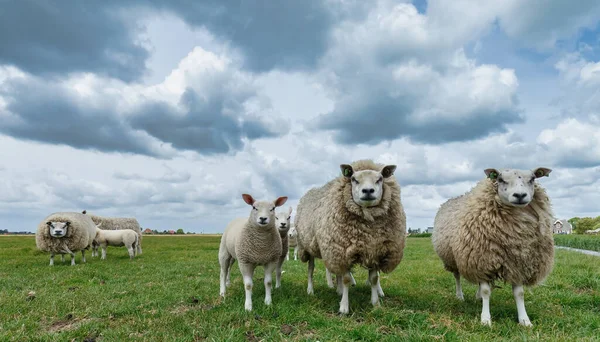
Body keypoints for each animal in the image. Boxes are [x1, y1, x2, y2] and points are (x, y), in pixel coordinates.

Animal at [294, 160, 406, 316]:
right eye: (354, 179)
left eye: (380, 179)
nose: (368, 191)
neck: (368, 230)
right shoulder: (342, 251)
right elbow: (346, 278)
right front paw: (344, 307)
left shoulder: (374, 250)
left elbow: (374, 278)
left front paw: (375, 303)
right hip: (310, 247)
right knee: (311, 270)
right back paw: (311, 290)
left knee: (337, 272)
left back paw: (339, 290)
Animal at [432, 167, 552, 328]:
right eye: (500, 179)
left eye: (533, 179)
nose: (520, 195)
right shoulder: (482, 259)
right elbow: (486, 291)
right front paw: (485, 319)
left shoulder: (517, 263)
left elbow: (519, 294)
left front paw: (524, 320)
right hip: (453, 259)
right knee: (457, 277)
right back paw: (460, 295)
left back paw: (477, 297)